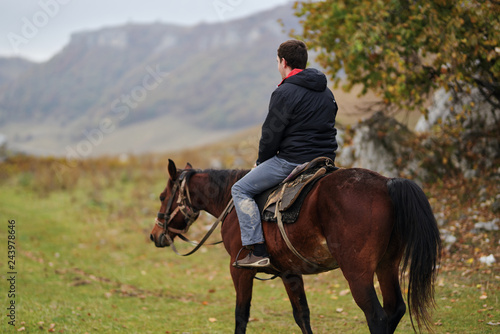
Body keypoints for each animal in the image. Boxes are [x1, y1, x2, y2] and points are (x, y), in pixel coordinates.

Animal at [149, 160, 442, 334]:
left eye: (163, 196)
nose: (155, 235)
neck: (231, 202)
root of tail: (386, 183)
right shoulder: (290, 273)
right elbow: (302, 315)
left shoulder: (240, 270)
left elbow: (241, 315)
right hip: (386, 265)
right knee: (395, 309)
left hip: (357, 273)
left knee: (377, 318)